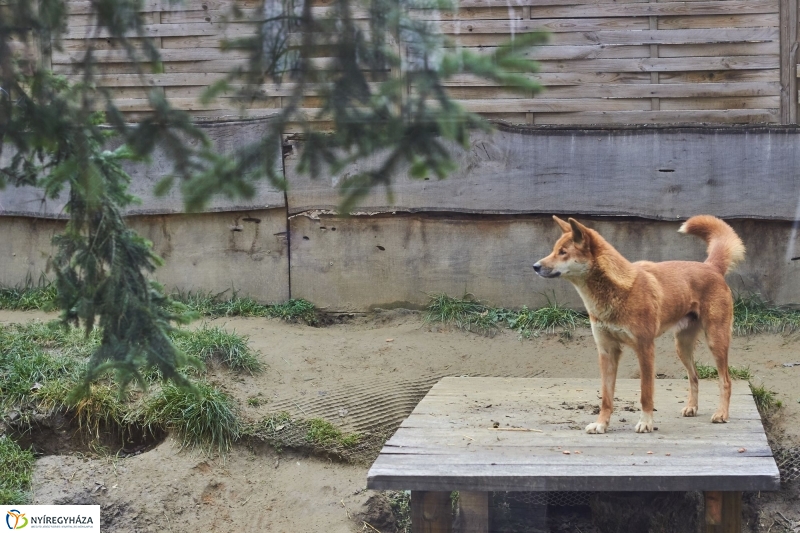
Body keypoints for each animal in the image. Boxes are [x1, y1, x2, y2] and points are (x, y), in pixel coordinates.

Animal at [536, 215, 748, 432]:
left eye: (563, 252)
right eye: (554, 250)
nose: (535, 266)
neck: (616, 290)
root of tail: (711, 267)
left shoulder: (645, 349)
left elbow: (646, 393)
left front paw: (646, 422)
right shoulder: (607, 352)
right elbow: (606, 397)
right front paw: (601, 424)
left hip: (716, 340)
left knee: (725, 380)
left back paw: (721, 413)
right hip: (682, 346)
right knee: (694, 376)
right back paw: (692, 407)